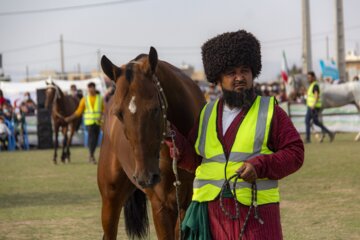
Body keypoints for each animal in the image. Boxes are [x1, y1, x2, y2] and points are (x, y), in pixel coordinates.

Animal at [99, 47, 205, 240]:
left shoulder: (186, 202)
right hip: (111, 197)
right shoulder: (161, 205)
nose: (145, 177)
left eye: (155, 109)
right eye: (119, 114)